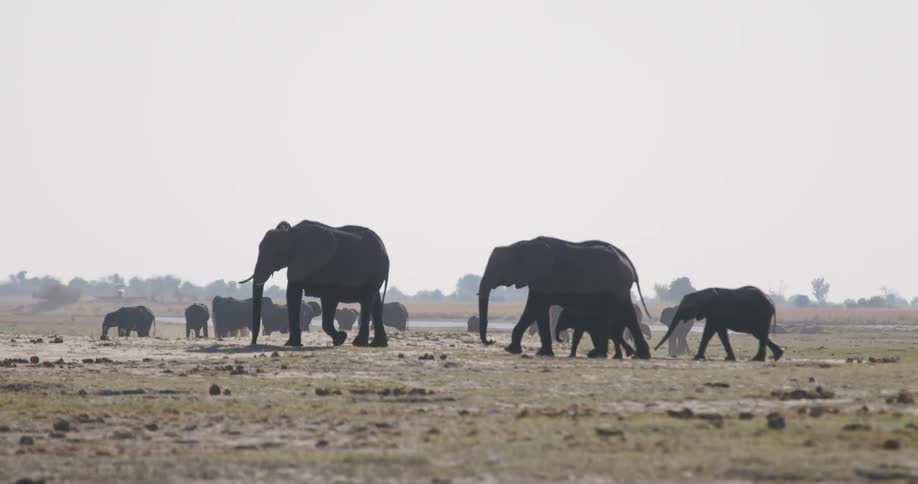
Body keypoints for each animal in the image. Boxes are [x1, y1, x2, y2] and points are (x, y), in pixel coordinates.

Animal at [240, 220, 390, 347]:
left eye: (276, 252)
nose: (254, 343)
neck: (291, 233)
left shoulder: (324, 267)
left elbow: (326, 298)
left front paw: (340, 338)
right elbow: (293, 294)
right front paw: (292, 344)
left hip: (375, 270)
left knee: (367, 300)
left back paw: (359, 343)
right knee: (375, 302)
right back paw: (378, 344)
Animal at [477, 237, 651, 359]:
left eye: (498, 268)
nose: (491, 341)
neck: (521, 245)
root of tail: (628, 262)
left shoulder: (544, 277)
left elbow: (534, 308)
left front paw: (511, 350)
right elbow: (539, 311)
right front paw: (543, 353)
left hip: (615, 285)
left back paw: (599, 354)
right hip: (621, 287)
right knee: (629, 313)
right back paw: (640, 355)